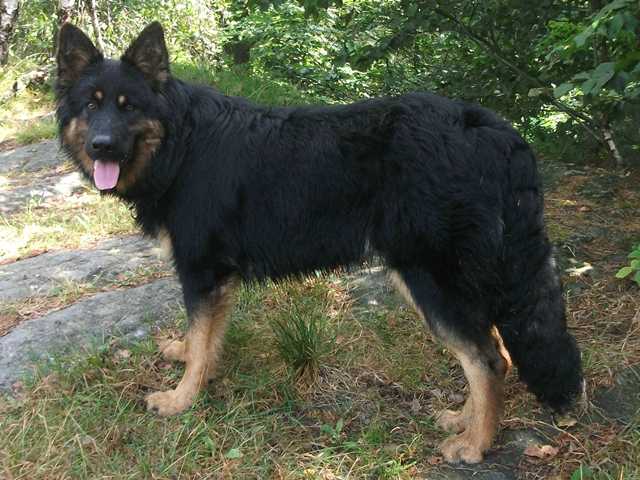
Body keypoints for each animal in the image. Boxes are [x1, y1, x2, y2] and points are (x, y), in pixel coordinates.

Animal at [55, 22, 583, 464]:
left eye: (129, 106)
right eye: (91, 105)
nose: (101, 146)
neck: (178, 142)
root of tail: (494, 130)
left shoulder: (203, 272)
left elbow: (202, 340)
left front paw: (182, 398)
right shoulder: (215, 280)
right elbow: (204, 338)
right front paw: (186, 358)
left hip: (429, 279)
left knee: (487, 360)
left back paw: (476, 445)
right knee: (496, 352)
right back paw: (465, 420)